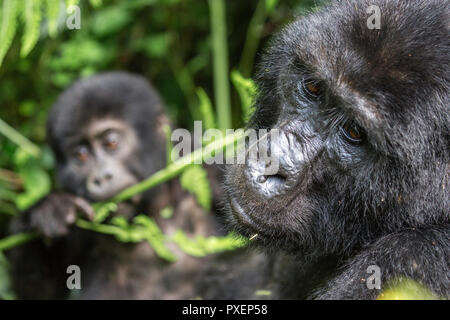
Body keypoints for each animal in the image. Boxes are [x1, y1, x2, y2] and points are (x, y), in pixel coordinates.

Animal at [9, 72, 221, 300]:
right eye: (81, 154)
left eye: (111, 142)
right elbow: (39, 292)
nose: (101, 178)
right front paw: (48, 207)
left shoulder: (209, 169)